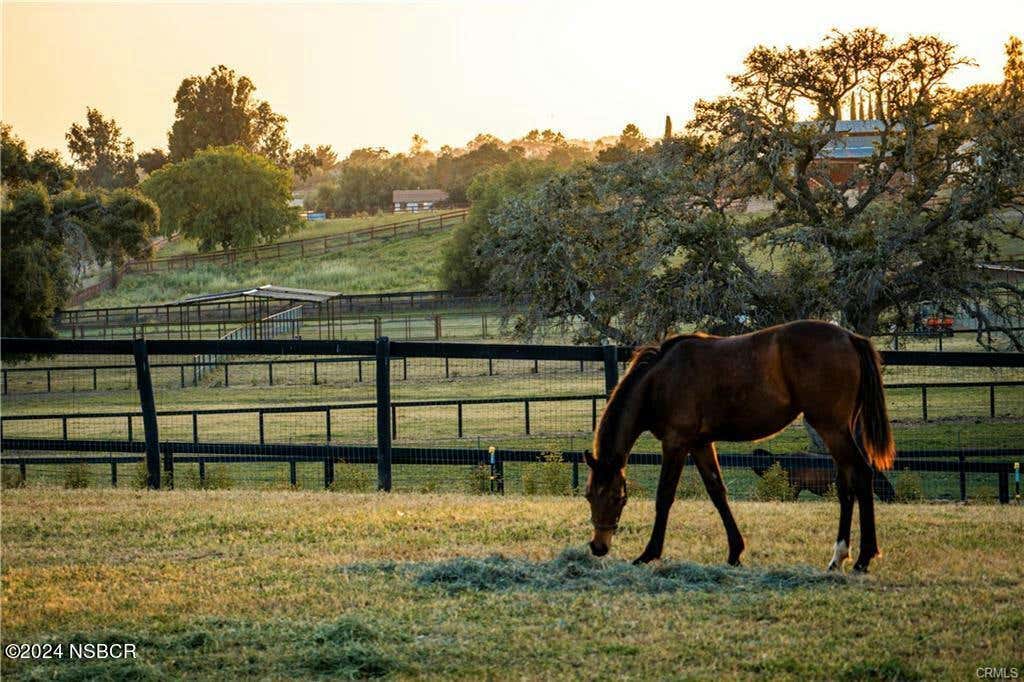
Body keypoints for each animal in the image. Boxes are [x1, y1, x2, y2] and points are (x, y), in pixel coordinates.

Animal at [585, 319, 897, 569]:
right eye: (588, 496)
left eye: (617, 498)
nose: (598, 546)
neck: (660, 379)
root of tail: (850, 337)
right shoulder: (700, 444)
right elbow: (718, 493)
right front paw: (735, 552)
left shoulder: (676, 443)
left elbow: (664, 497)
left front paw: (648, 554)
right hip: (841, 431)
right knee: (846, 486)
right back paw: (839, 557)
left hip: (832, 428)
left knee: (862, 475)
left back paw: (863, 558)